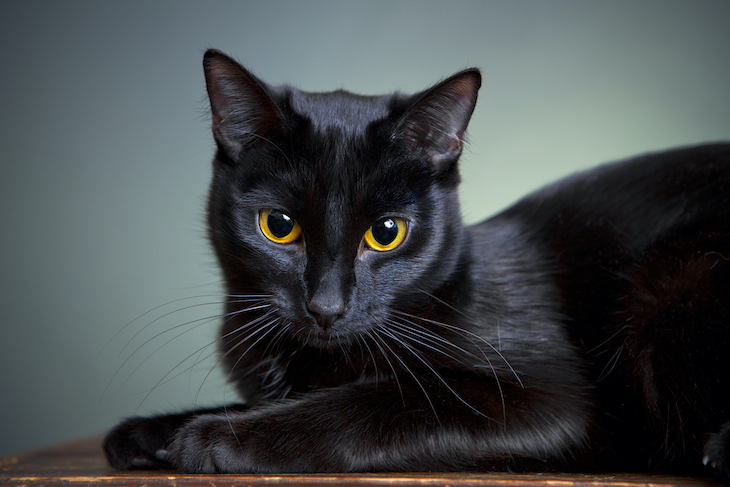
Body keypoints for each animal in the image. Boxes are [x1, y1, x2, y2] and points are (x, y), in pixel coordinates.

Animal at [102, 49, 728, 476]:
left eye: (386, 234)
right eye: (279, 227)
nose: (325, 307)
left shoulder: (554, 404)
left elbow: (381, 401)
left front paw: (214, 437)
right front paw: (149, 433)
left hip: (670, 280)